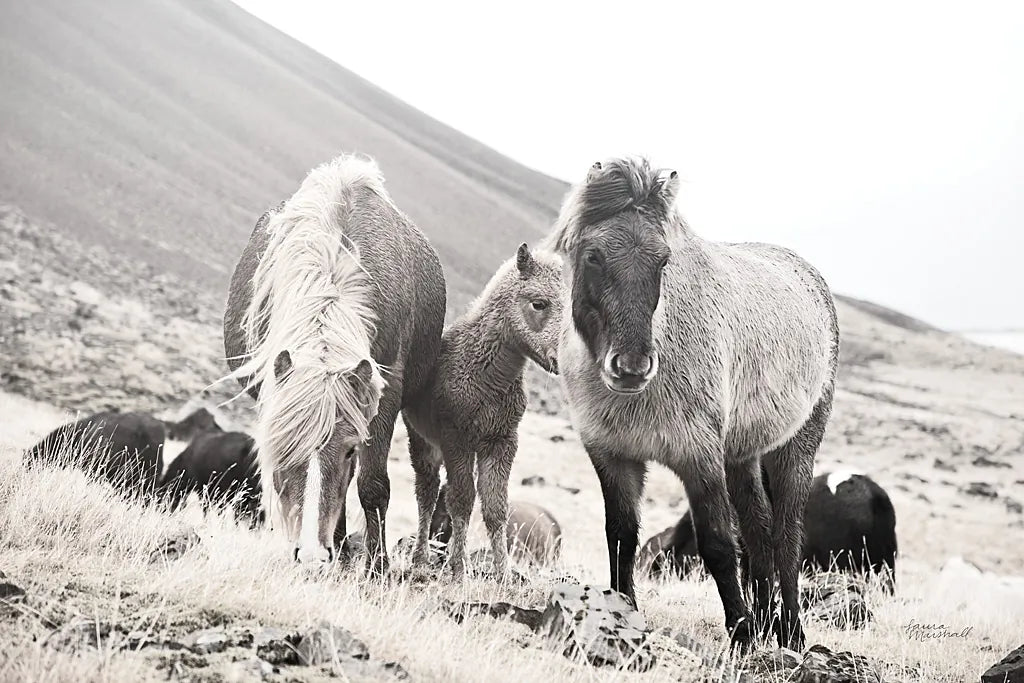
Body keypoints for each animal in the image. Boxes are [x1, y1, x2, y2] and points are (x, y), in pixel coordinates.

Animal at [223, 154, 445, 568]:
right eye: (282, 446)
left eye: (348, 449)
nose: (310, 554)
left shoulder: (384, 394)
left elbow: (372, 484)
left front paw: (378, 565)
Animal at [546, 157, 839, 651]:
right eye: (593, 256)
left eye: (663, 260)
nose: (632, 367)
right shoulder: (613, 457)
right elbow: (621, 537)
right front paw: (623, 615)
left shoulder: (698, 457)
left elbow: (718, 544)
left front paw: (741, 636)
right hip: (742, 455)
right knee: (759, 529)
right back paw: (768, 622)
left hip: (794, 450)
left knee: (785, 536)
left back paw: (791, 633)